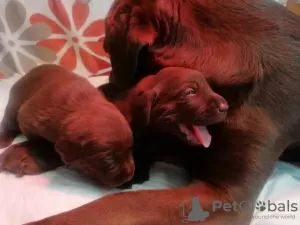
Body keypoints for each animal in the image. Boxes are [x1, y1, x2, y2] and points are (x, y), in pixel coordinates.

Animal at [0, 64, 134, 187]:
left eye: (130, 149)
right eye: (109, 161)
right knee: (9, 120)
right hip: (16, 100)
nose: (130, 176)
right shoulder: (27, 118)